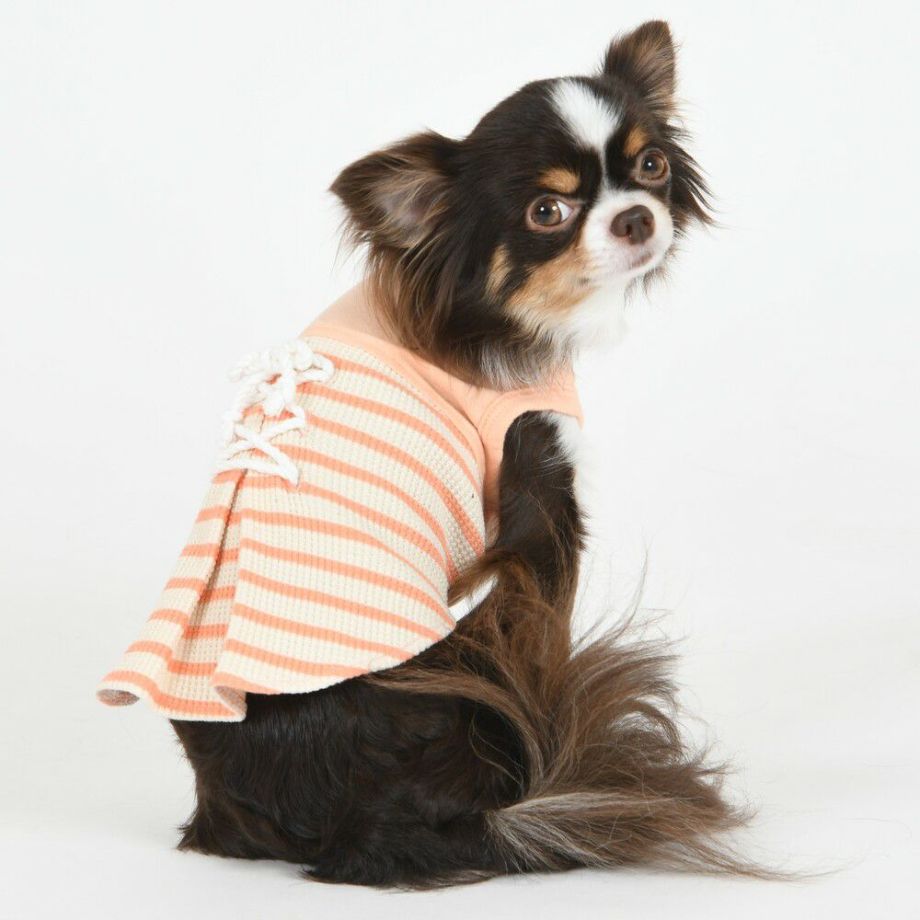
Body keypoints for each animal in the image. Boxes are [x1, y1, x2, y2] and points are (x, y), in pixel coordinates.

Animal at [162, 21, 751, 888]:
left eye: (651, 166)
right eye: (547, 211)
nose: (637, 218)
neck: (491, 313)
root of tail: (345, 827)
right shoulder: (541, 498)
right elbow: (548, 625)